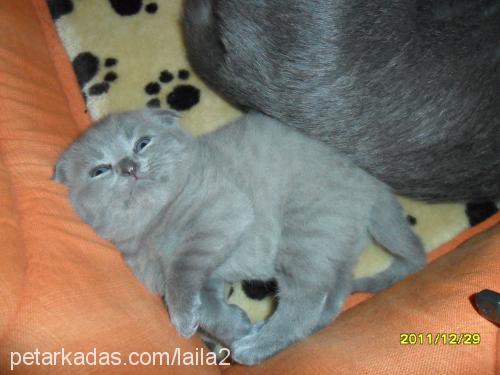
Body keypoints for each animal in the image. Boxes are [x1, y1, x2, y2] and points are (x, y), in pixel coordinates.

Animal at [53, 110, 426, 366]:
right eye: (99, 170)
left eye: (142, 143)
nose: (129, 167)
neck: (156, 221)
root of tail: (373, 182)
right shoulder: (210, 276)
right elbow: (208, 308)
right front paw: (235, 326)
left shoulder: (222, 215)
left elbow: (182, 271)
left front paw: (187, 320)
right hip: (334, 241)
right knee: (332, 295)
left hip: (305, 228)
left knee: (306, 299)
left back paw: (256, 348)